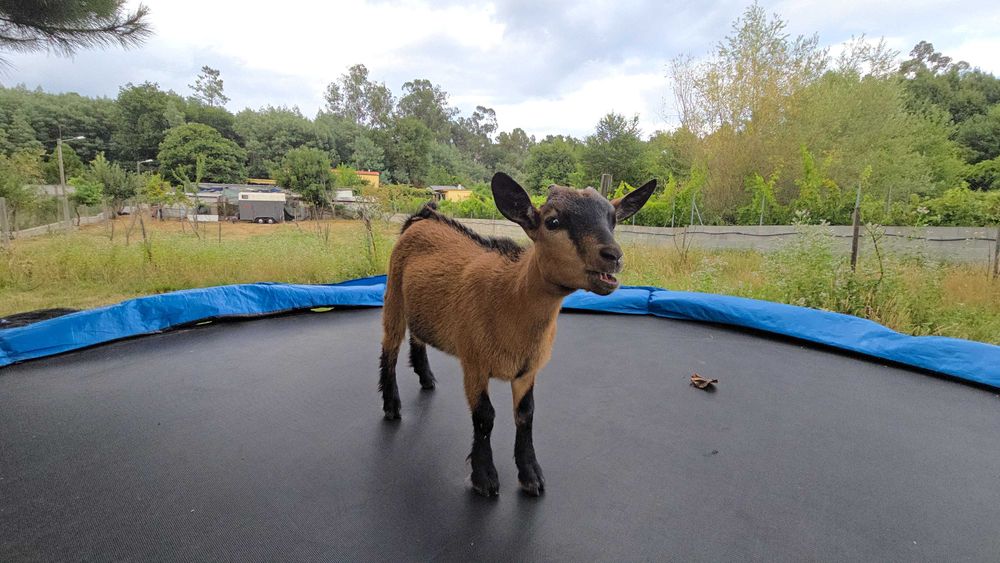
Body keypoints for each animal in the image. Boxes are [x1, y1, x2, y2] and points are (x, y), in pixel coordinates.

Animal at [379, 172, 656, 497]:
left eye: (612, 220)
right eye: (552, 222)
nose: (613, 256)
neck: (510, 296)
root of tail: (420, 218)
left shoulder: (528, 369)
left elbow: (526, 415)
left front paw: (530, 475)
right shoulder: (474, 364)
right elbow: (485, 417)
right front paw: (484, 478)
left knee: (418, 337)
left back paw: (426, 378)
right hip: (393, 296)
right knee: (389, 348)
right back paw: (392, 406)